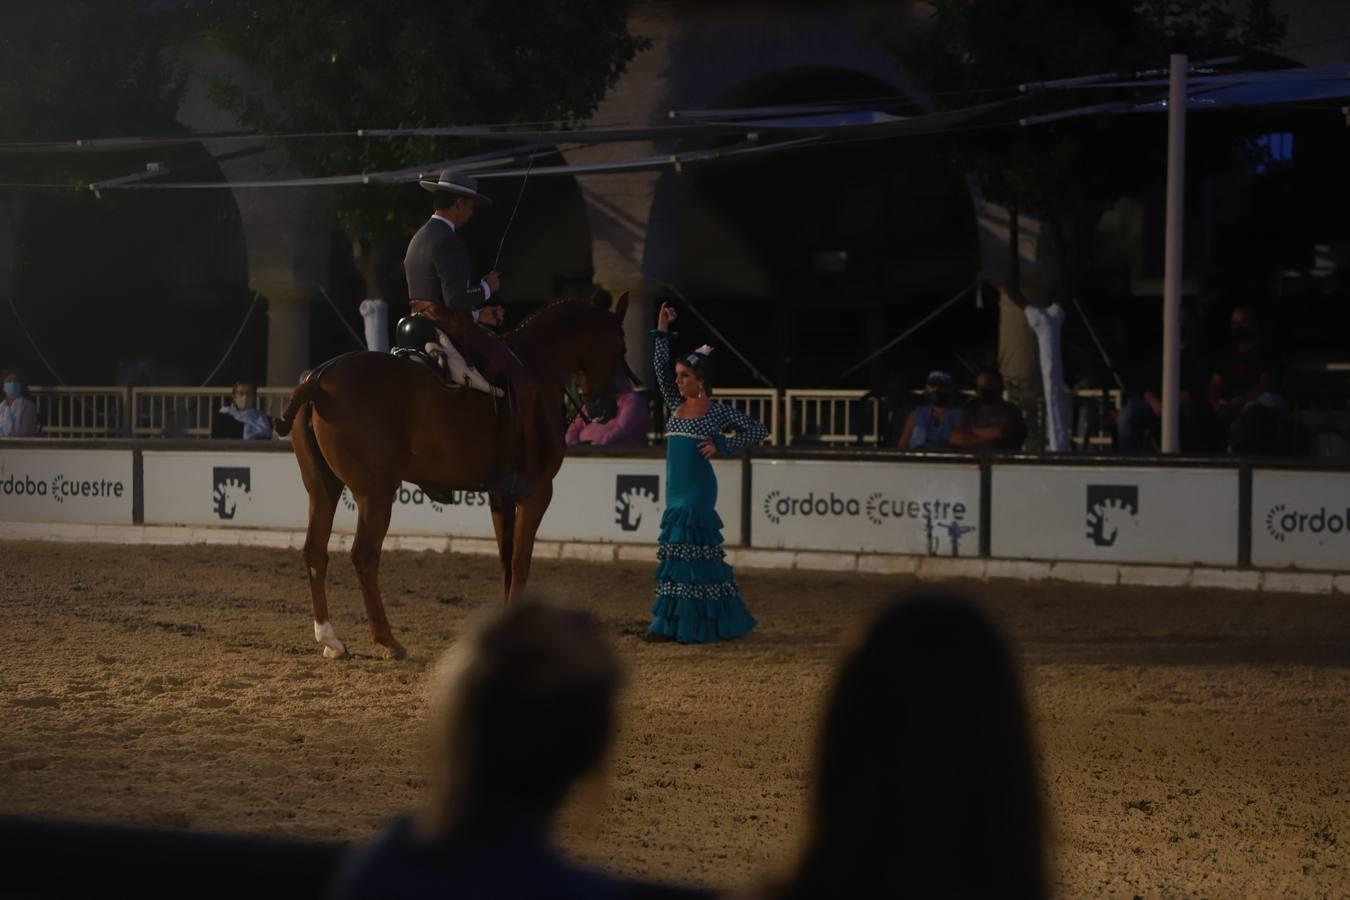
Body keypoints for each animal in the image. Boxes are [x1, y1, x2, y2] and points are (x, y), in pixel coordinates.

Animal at [278, 295, 631, 661]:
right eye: (620, 345)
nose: (607, 409)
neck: (538, 366)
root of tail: (319, 378)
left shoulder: (500, 496)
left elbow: (506, 562)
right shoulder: (536, 493)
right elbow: (520, 562)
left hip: (323, 489)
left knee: (315, 551)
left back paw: (330, 639)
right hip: (375, 494)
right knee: (364, 555)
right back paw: (388, 640)